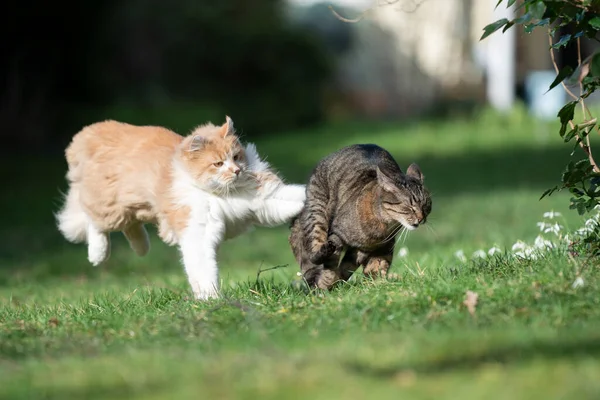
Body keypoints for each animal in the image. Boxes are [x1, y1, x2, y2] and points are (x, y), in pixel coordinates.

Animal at [57, 115, 304, 300]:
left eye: (236, 156)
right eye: (218, 163)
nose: (237, 171)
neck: (220, 193)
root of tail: (91, 131)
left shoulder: (263, 199)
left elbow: (292, 196)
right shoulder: (197, 233)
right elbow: (204, 269)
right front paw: (210, 298)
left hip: (132, 208)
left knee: (130, 226)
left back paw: (142, 248)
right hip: (111, 207)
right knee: (93, 221)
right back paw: (98, 255)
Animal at [290, 145, 432, 290]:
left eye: (426, 205)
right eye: (410, 207)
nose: (421, 218)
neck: (384, 226)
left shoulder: (376, 248)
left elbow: (375, 266)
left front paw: (379, 284)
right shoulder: (338, 235)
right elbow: (330, 267)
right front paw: (324, 286)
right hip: (317, 210)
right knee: (313, 251)